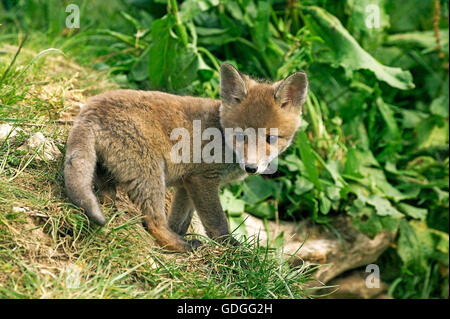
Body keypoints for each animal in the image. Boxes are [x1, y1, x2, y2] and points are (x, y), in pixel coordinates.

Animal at [63, 62, 308, 252]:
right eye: (240, 135)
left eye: (270, 138)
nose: (251, 168)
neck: (220, 135)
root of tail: (90, 107)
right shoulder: (202, 180)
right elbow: (217, 222)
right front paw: (232, 249)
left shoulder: (186, 184)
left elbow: (180, 220)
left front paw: (184, 234)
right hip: (151, 175)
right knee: (153, 222)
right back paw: (182, 246)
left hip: (112, 171)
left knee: (105, 196)